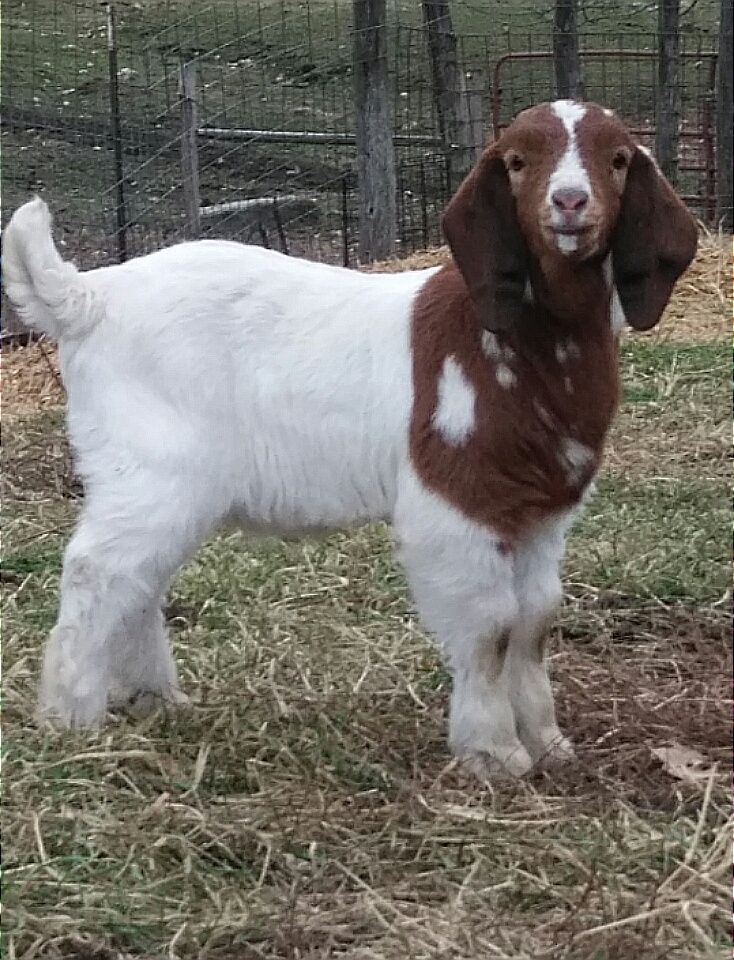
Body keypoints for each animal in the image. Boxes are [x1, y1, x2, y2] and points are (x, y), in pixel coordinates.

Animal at [4, 100, 698, 779]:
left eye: (617, 159)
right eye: (519, 161)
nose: (571, 202)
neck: (521, 342)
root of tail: (90, 299)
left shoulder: (540, 510)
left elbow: (535, 620)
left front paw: (549, 744)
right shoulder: (457, 497)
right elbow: (490, 627)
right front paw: (495, 754)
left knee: (139, 577)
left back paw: (153, 699)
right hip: (151, 467)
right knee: (98, 569)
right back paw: (71, 717)